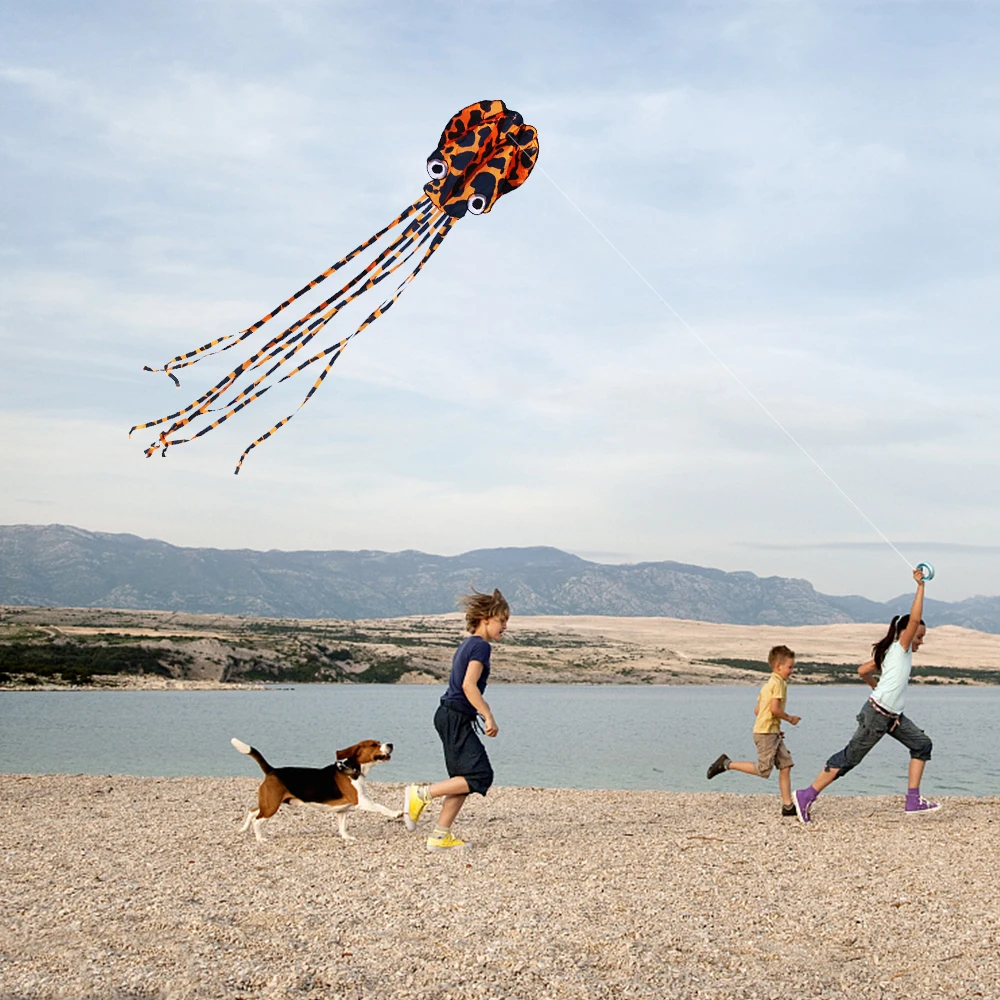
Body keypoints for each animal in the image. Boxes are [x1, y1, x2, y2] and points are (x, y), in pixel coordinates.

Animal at [233, 736, 402, 844]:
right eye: (374, 744)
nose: (391, 744)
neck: (353, 769)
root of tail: (272, 770)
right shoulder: (361, 801)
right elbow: (380, 807)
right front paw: (396, 813)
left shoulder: (342, 810)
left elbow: (342, 826)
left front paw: (346, 837)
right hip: (272, 806)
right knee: (257, 820)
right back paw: (260, 839)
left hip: (268, 803)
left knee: (252, 812)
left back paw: (242, 829)